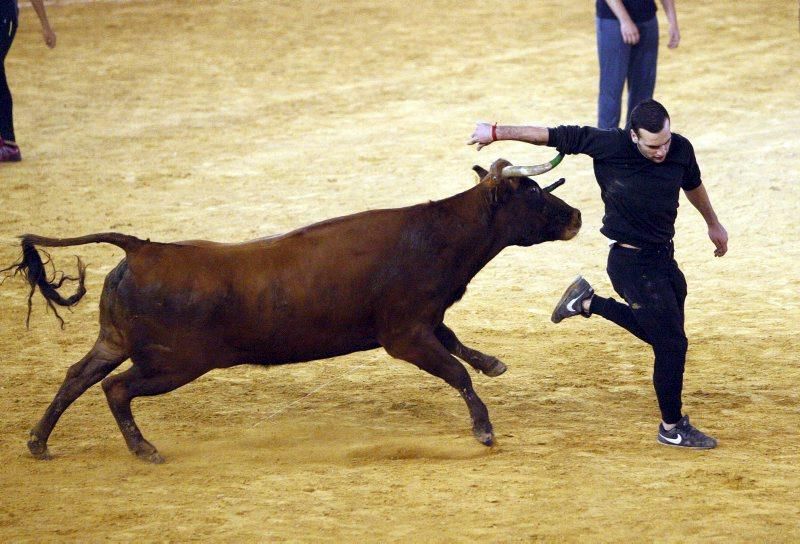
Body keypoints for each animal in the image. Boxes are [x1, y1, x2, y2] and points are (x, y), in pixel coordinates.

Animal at [6, 158, 580, 464]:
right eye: (531, 193)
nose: (575, 215)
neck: (435, 235)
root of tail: (144, 249)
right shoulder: (404, 335)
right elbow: (456, 369)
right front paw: (484, 430)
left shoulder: (424, 321)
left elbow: (459, 344)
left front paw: (494, 364)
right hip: (172, 363)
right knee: (115, 388)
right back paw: (144, 449)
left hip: (115, 341)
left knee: (77, 376)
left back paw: (37, 442)